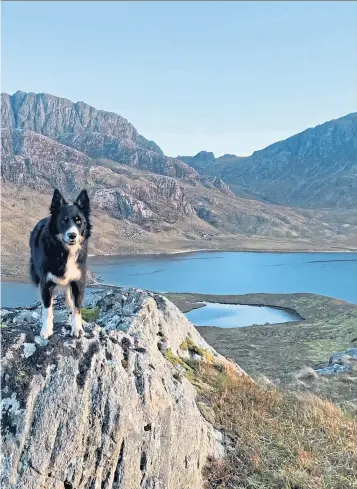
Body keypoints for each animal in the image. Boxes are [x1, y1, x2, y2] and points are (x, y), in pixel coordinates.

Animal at [29, 189, 91, 338]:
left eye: (79, 221)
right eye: (64, 221)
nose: (72, 235)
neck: (64, 251)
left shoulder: (78, 281)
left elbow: (77, 308)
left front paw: (77, 327)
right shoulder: (46, 282)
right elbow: (47, 309)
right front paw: (46, 330)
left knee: (69, 298)